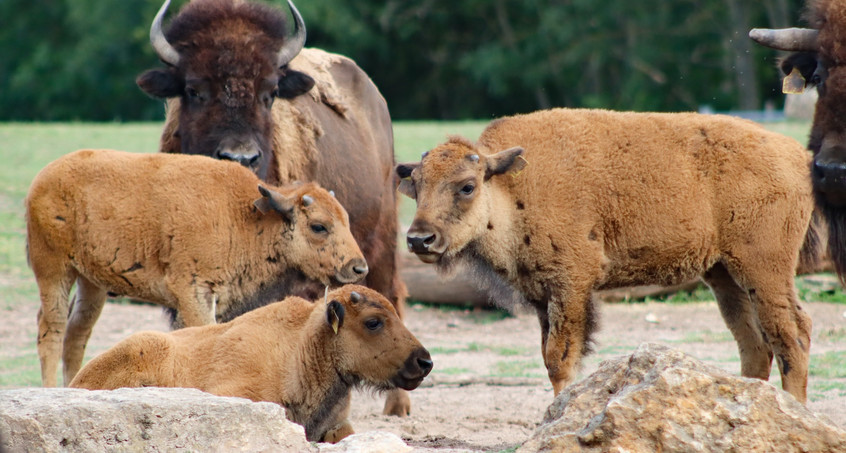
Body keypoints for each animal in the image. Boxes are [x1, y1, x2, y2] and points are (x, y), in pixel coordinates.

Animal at [25, 148, 364, 384]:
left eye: (346, 219)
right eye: (319, 226)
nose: (358, 268)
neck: (246, 216)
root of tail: (41, 180)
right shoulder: (194, 291)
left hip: (91, 282)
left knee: (76, 333)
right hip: (54, 271)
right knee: (51, 329)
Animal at [137, 0, 412, 414]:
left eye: (269, 94)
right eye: (194, 90)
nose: (240, 156)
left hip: (382, 237)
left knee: (389, 293)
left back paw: (397, 407)